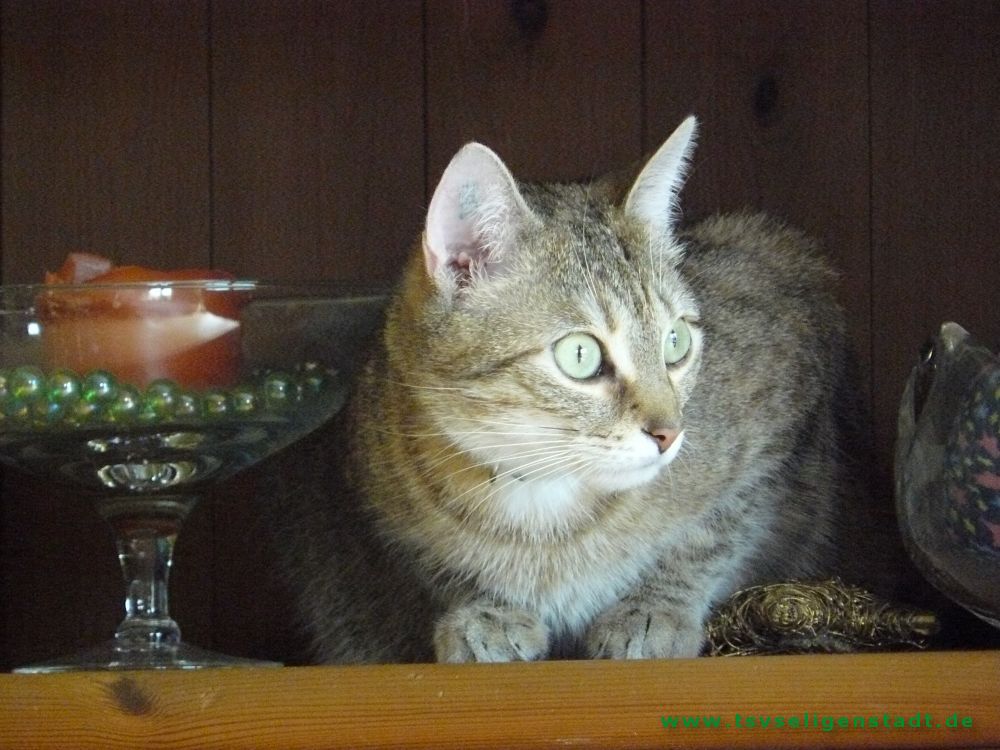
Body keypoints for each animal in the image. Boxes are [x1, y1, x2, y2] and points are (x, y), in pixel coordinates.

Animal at [265, 116, 882, 664]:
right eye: (580, 355)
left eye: (676, 342)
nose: (670, 433)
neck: (542, 498)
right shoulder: (374, 495)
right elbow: (441, 568)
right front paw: (484, 609)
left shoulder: (784, 411)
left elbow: (714, 532)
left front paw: (654, 607)